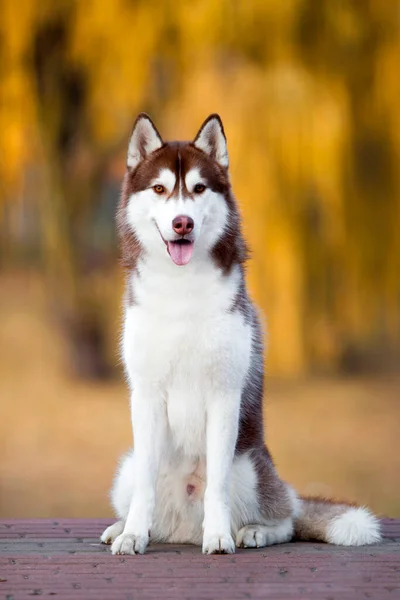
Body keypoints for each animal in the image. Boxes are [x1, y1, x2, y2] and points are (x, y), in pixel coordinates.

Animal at [101, 112, 382, 552]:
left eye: (199, 188)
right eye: (160, 188)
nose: (183, 222)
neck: (181, 287)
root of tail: (183, 529)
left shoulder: (224, 394)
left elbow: (217, 485)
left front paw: (218, 536)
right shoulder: (145, 395)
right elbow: (145, 488)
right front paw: (131, 535)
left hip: (250, 468)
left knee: (287, 517)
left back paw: (254, 531)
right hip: (126, 469)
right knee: (148, 503)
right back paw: (125, 527)